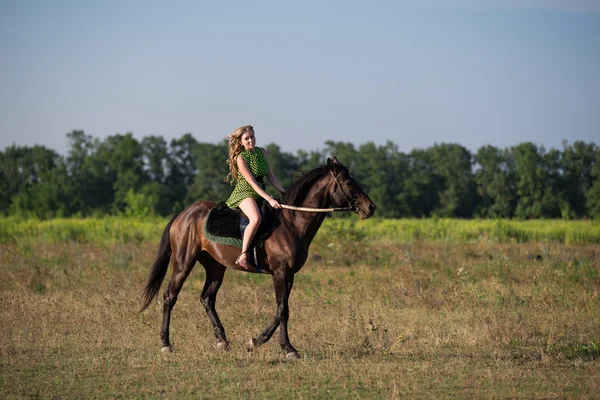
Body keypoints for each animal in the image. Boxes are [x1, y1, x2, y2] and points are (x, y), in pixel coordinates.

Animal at [141, 155, 376, 356]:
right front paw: (287, 348)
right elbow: (283, 310)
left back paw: (222, 341)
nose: (371, 207)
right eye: (348, 183)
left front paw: (256, 341)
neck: (291, 223)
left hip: (215, 267)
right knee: (170, 296)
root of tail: (183, 214)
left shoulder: (289, 275)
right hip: (183, 262)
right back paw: (166, 344)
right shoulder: (280, 272)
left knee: (207, 298)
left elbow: (281, 310)